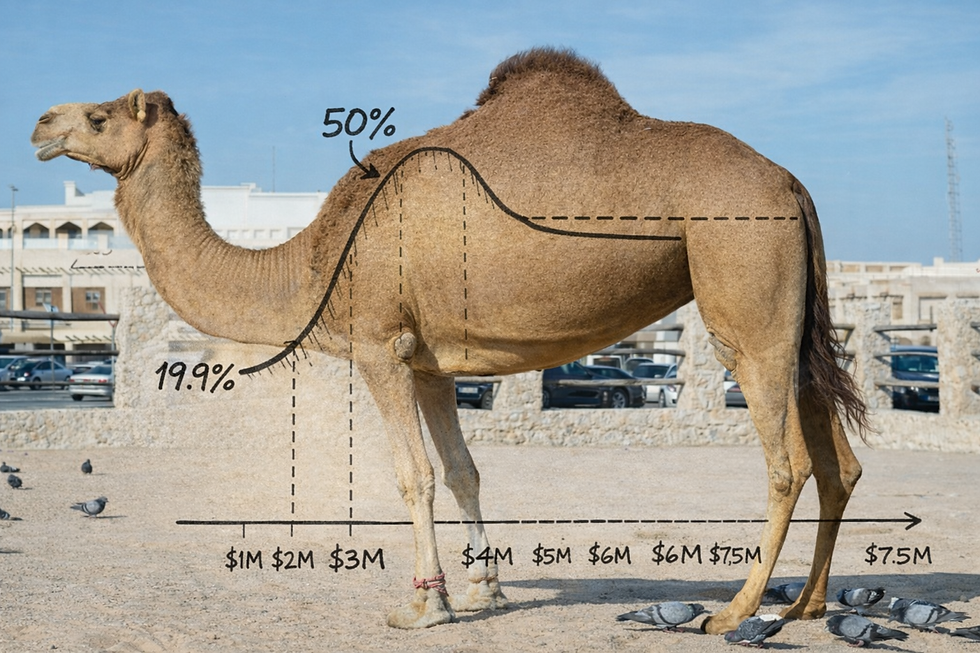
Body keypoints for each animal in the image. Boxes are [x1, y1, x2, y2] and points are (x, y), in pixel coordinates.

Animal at [31, 48, 868, 634]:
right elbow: (464, 471)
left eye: (100, 117)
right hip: (790, 312)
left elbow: (413, 476)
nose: (41, 123)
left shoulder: (379, 344)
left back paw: (735, 610)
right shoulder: (431, 360)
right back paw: (807, 604)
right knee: (839, 457)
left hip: (744, 288)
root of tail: (792, 184)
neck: (312, 261)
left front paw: (423, 604)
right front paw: (482, 587)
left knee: (787, 460)